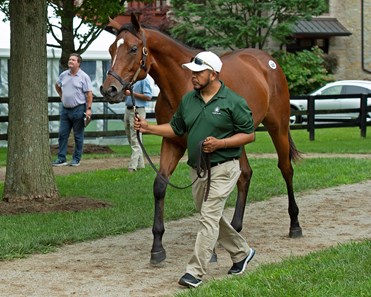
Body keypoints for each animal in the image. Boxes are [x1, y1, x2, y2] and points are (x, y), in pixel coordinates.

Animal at [101, 13, 302, 264]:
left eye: (133, 48)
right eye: (110, 49)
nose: (109, 90)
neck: (183, 83)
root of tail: (267, 61)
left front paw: (210, 249)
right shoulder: (173, 142)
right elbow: (160, 185)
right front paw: (157, 247)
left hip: (278, 128)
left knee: (286, 169)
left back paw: (294, 225)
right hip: (238, 140)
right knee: (245, 175)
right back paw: (235, 228)